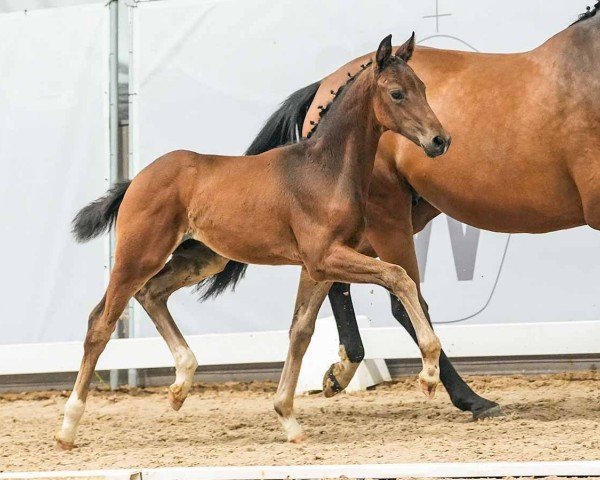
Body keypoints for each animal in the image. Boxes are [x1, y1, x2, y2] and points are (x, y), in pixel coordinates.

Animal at [57, 34, 450, 450]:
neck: (324, 171)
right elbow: (398, 276)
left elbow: (300, 332)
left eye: (423, 87)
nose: (440, 140)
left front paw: (288, 418)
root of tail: (136, 179)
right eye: (396, 93)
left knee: (152, 294)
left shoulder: (318, 268)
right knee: (101, 322)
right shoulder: (325, 257)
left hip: (201, 259)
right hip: (138, 256)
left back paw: (180, 386)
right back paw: (68, 427)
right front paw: (428, 374)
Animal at [193, 5, 600, 420]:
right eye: (397, 93)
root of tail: (323, 87)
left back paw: (342, 370)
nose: (441, 140)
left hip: (381, 224)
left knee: (335, 279)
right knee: (403, 298)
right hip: (387, 218)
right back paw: (468, 397)